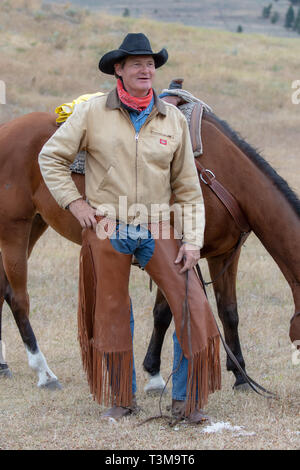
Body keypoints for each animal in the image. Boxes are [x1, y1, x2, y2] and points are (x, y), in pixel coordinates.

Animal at [0, 108, 298, 392]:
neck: (222, 177)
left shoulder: (223, 255)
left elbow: (229, 312)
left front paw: (241, 377)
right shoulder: (178, 254)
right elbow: (164, 314)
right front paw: (154, 373)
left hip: (35, 225)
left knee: (2, 291)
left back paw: (4, 366)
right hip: (15, 229)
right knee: (18, 298)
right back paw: (44, 373)